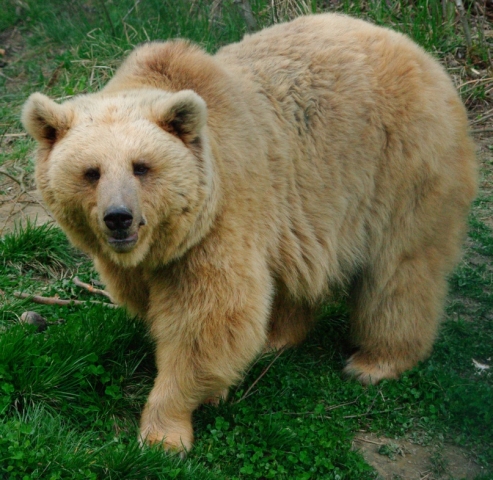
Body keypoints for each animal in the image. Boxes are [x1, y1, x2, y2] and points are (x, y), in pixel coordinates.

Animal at [21, 13, 474, 452]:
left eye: (141, 167)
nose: (119, 217)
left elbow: (209, 321)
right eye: (91, 172)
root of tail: (417, 50)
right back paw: (278, 335)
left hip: (401, 168)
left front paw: (164, 431)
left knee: (401, 271)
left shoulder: (223, 214)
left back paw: (375, 361)